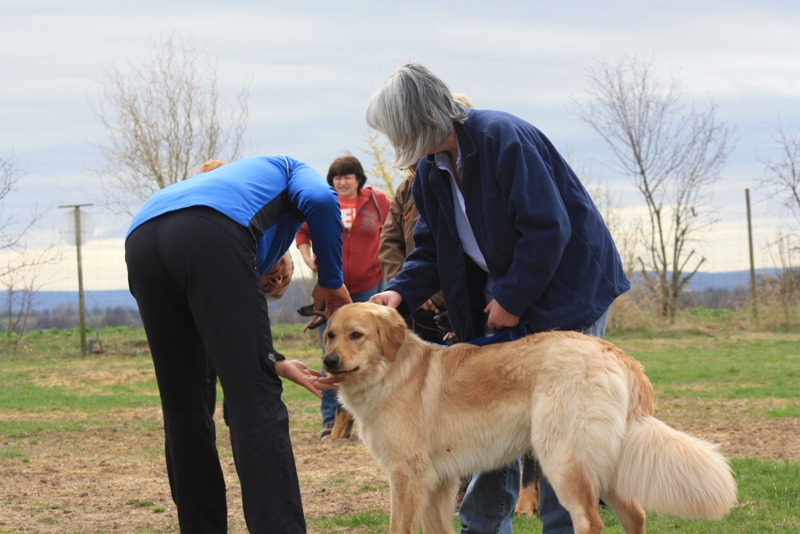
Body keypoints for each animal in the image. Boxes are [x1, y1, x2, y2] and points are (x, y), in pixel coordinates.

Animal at [321, 303, 737, 534]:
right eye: (329, 335)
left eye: (356, 335)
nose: (328, 362)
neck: (392, 371)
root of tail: (614, 354)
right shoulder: (436, 482)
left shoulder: (407, 476)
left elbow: (399, 528)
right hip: (605, 466)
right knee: (635, 516)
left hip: (563, 461)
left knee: (590, 521)